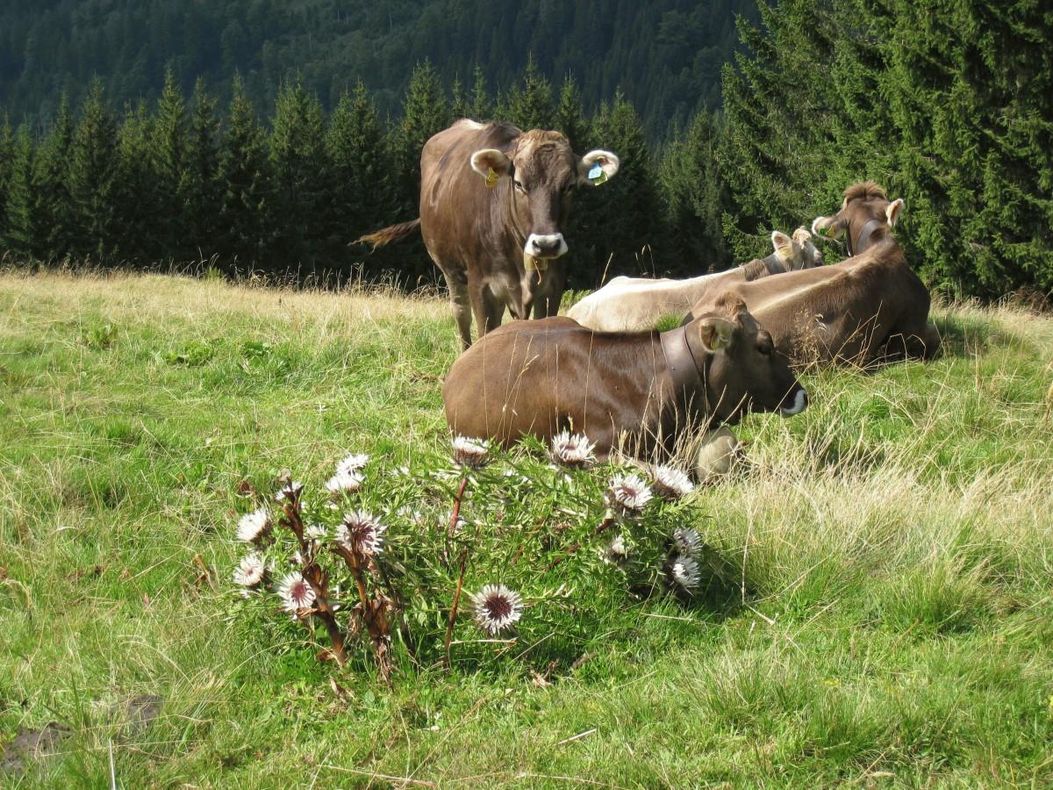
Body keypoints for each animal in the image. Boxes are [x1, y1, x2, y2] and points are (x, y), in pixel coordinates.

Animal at [358, 119, 619, 348]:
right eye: (519, 183)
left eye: (569, 185)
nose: (546, 244)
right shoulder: (481, 285)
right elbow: (484, 332)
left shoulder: (552, 287)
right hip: (451, 270)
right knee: (461, 313)